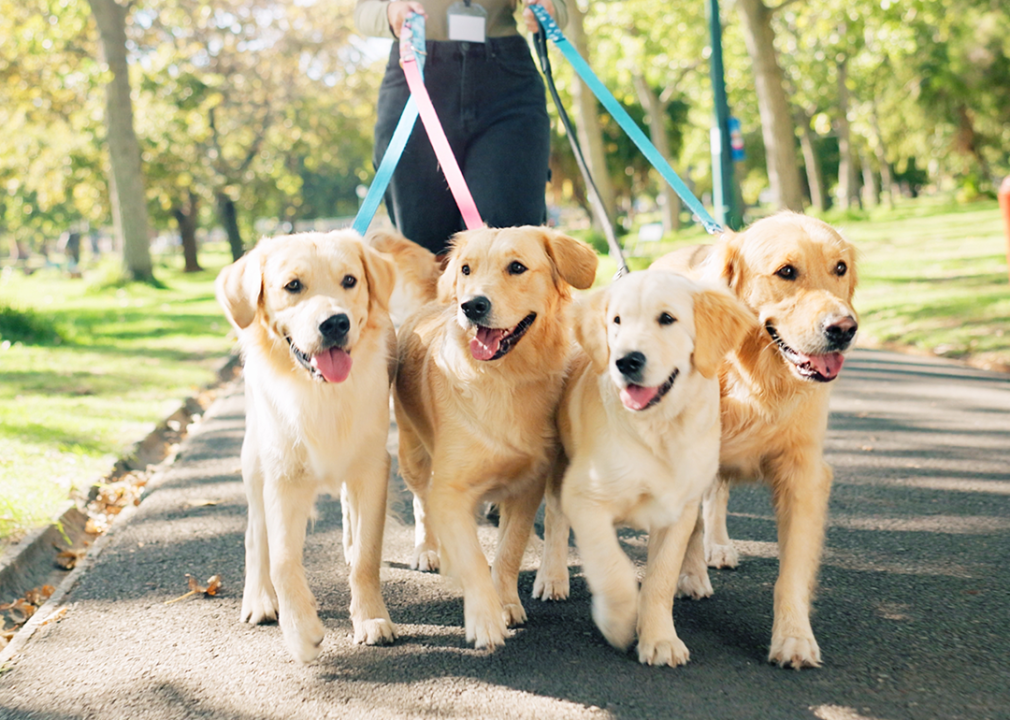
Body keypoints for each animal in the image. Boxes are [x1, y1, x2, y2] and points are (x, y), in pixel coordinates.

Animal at [217, 230, 397, 662]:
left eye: (349, 280)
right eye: (292, 286)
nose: (335, 323)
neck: (323, 393)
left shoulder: (372, 467)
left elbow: (367, 555)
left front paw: (370, 618)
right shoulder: (284, 476)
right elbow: (283, 560)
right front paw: (302, 632)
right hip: (253, 460)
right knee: (255, 533)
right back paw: (259, 599)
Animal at [391, 224, 597, 646]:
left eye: (517, 267)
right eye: (466, 269)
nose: (471, 306)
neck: (503, 379)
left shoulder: (528, 485)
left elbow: (509, 551)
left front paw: (506, 603)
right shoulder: (451, 490)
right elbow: (472, 557)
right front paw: (484, 619)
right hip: (412, 453)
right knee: (421, 503)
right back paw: (428, 550)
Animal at [533, 272, 755, 666]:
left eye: (667, 319)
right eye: (617, 321)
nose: (626, 362)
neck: (659, 427)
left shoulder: (677, 509)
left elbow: (660, 578)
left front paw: (660, 638)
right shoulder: (584, 496)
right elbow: (611, 566)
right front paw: (618, 620)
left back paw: (694, 576)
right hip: (559, 462)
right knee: (556, 519)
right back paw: (552, 577)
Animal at [650, 211, 856, 666]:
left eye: (840, 268)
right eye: (786, 272)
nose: (845, 329)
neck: (753, 377)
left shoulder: (803, 473)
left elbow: (792, 571)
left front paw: (794, 637)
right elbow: (676, 542)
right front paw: (680, 584)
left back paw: (718, 548)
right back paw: (694, 572)